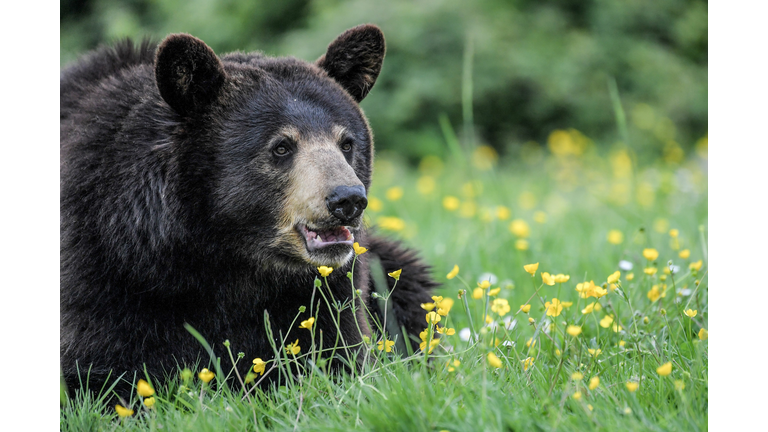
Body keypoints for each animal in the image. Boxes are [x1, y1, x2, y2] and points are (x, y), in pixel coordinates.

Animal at [61, 22, 438, 394]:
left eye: (346, 143)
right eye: (282, 147)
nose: (347, 199)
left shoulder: (330, 290)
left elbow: (337, 353)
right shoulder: (107, 274)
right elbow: (104, 367)